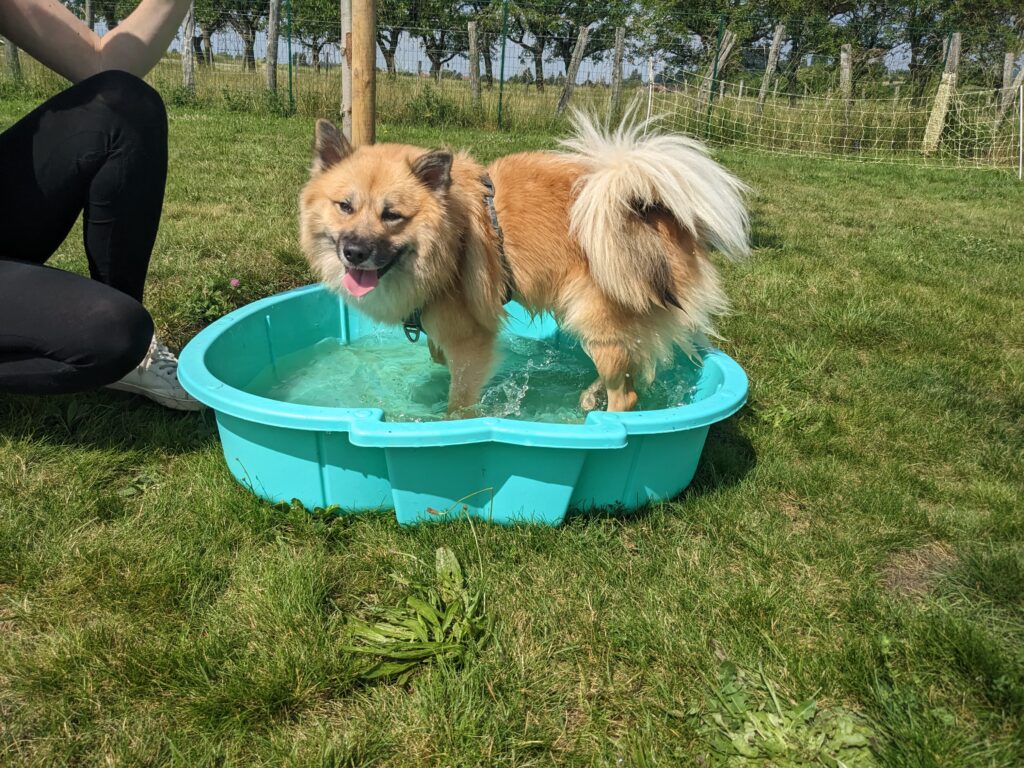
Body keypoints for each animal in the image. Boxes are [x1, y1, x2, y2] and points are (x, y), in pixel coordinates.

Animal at [299, 111, 749, 417]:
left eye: (392, 215)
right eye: (344, 206)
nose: (354, 252)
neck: (452, 234)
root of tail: (653, 211)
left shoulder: (472, 342)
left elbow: (459, 397)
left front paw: (450, 424)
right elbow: (436, 354)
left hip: (594, 318)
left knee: (627, 393)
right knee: (631, 367)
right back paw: (591, 395)